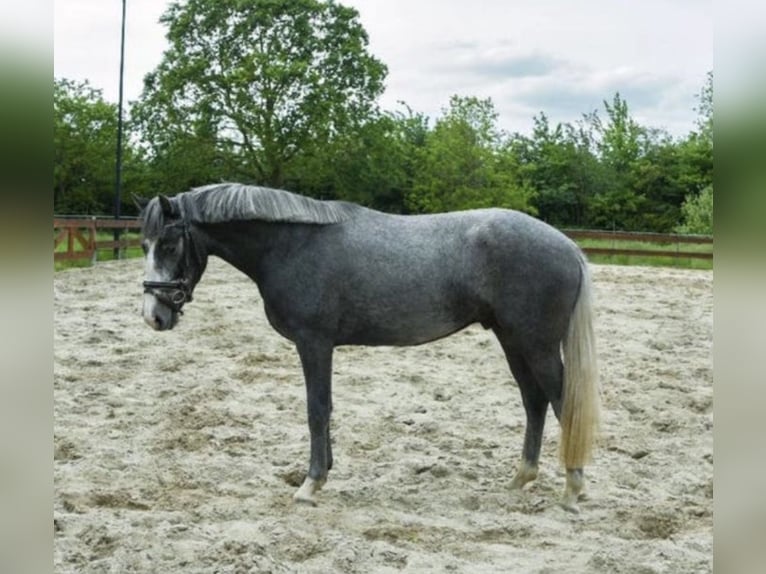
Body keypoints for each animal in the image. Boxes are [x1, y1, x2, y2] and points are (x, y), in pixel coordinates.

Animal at [137, 183, 600, 512]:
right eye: (144, 245)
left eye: (170, 244)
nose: (153, 316)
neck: (292, 244)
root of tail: (567, 246)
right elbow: (324, 409)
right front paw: (323, 472)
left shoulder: (314, 343)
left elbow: (317, 409)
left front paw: (310, 484)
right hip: (511, 339)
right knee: (534, 402)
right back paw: (522, 478)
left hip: (536, 345)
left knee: (562, 402)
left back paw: (572, 489)